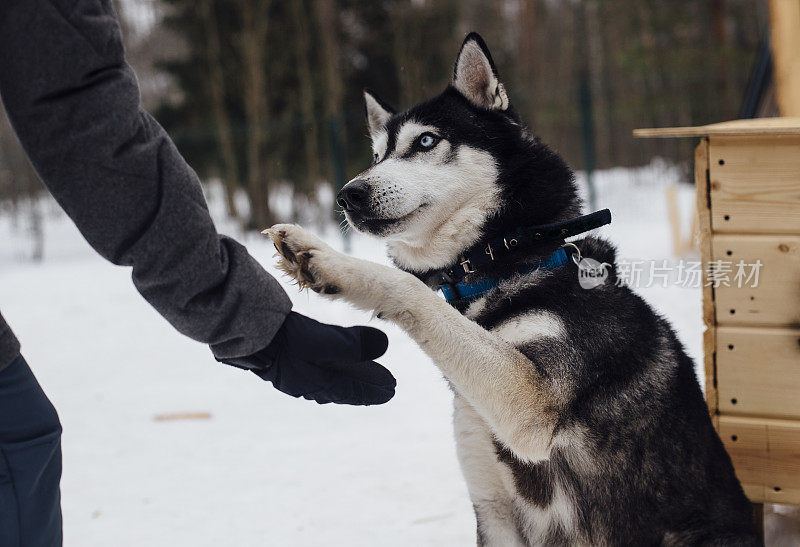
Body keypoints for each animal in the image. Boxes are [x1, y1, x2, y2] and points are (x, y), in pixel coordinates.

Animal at [268, 34, 756, 547]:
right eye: (378, 155)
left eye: (425, 141)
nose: (348, 195)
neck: (497, 266)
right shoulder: (493, 509)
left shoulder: (528, 403)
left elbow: (410, 289)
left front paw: (325, 259)